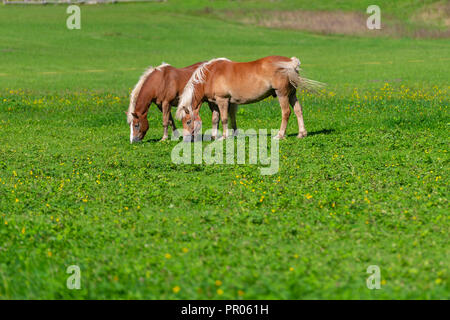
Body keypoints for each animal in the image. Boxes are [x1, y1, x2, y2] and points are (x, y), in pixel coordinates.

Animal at [176, 56, 324, 140]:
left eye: (188, 121)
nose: (186, 139)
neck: (210, 75)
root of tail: (291, 63)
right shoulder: (215, 103)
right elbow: (218, 119)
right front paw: (218, 136)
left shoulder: (222, 100)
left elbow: (224, 119)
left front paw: (224, 137)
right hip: (292, 94)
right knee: (298, 110)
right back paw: (301, 134)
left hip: (282, 94)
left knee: (286, 112)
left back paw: (280, 135)